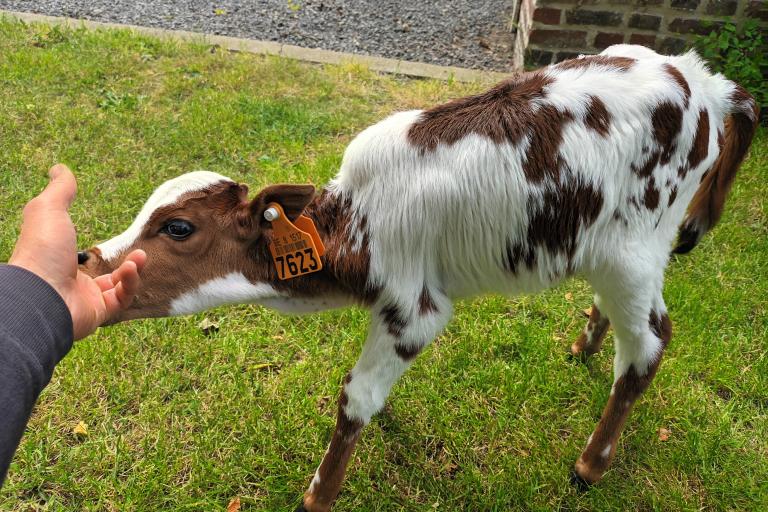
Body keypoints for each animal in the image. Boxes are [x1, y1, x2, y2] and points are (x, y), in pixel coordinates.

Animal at [79, 46, 756, 510]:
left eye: (178, 228)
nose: (88, 258)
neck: (355, 221)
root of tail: (703, 81)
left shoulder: (415, 308)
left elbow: (354, 398)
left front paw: (317, 496)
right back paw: (584, 343)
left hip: (634, 252)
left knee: (649, 344)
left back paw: (591, 463)